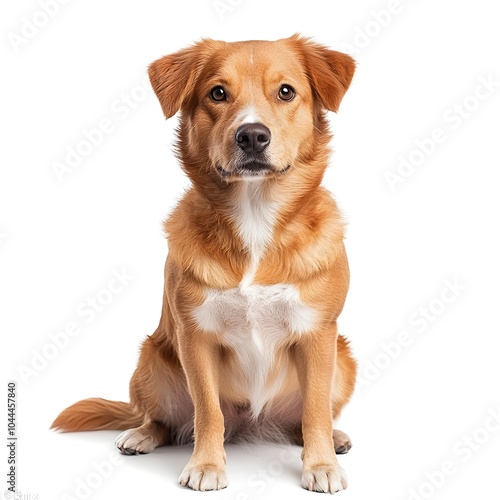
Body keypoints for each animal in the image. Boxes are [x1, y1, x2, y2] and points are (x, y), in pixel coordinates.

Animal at [52, 33, 358, 494]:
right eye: (217, 93)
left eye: (286, 92)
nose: (252, 135)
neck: (254, 216)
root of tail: (253, 425)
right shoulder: (195, 336)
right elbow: (207, 411)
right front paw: (207, 466)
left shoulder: (318, 335)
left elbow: (316, 411)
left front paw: (320, 463)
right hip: (152, 360)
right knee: (166, 420)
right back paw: (141, 434)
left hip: (343, 358)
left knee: (302, 420)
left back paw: (331, 439)